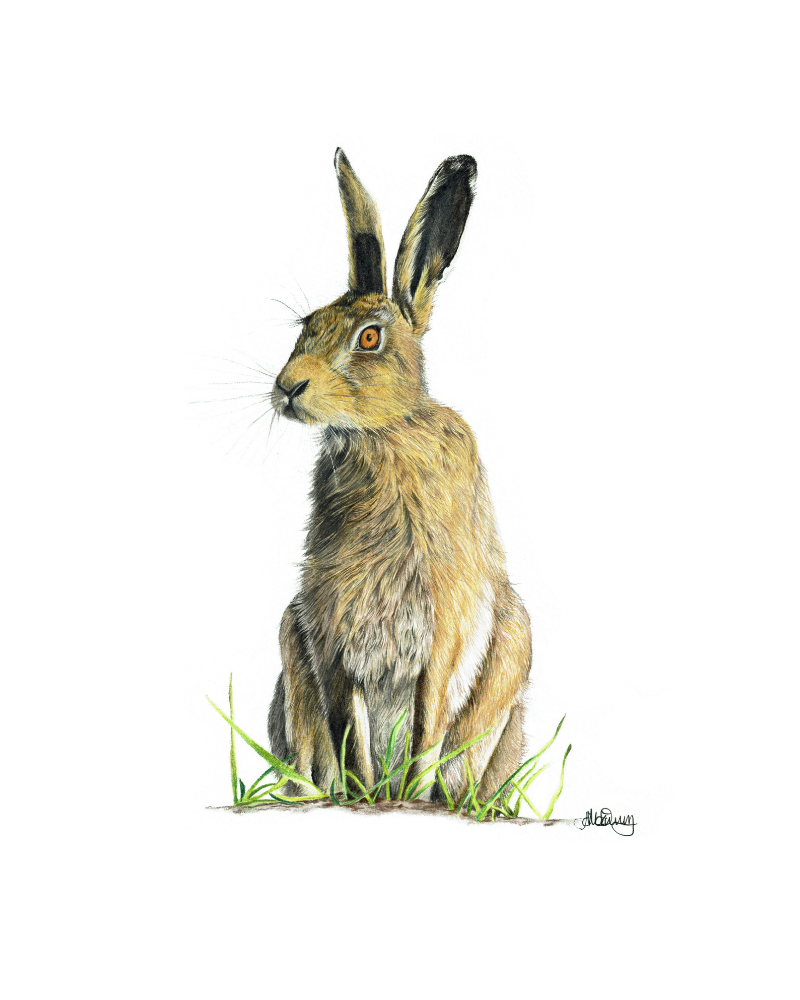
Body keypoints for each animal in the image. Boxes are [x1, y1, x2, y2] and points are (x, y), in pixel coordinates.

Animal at [267, 149, 531, 803]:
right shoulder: (329, 630)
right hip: (290, 647)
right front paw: (364, 796)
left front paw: (406, 799)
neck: (382, 433)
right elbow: (346, 728)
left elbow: (427, 724)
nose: (288, 387)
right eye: (306, 324)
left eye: (369, 338)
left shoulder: (444, 629)